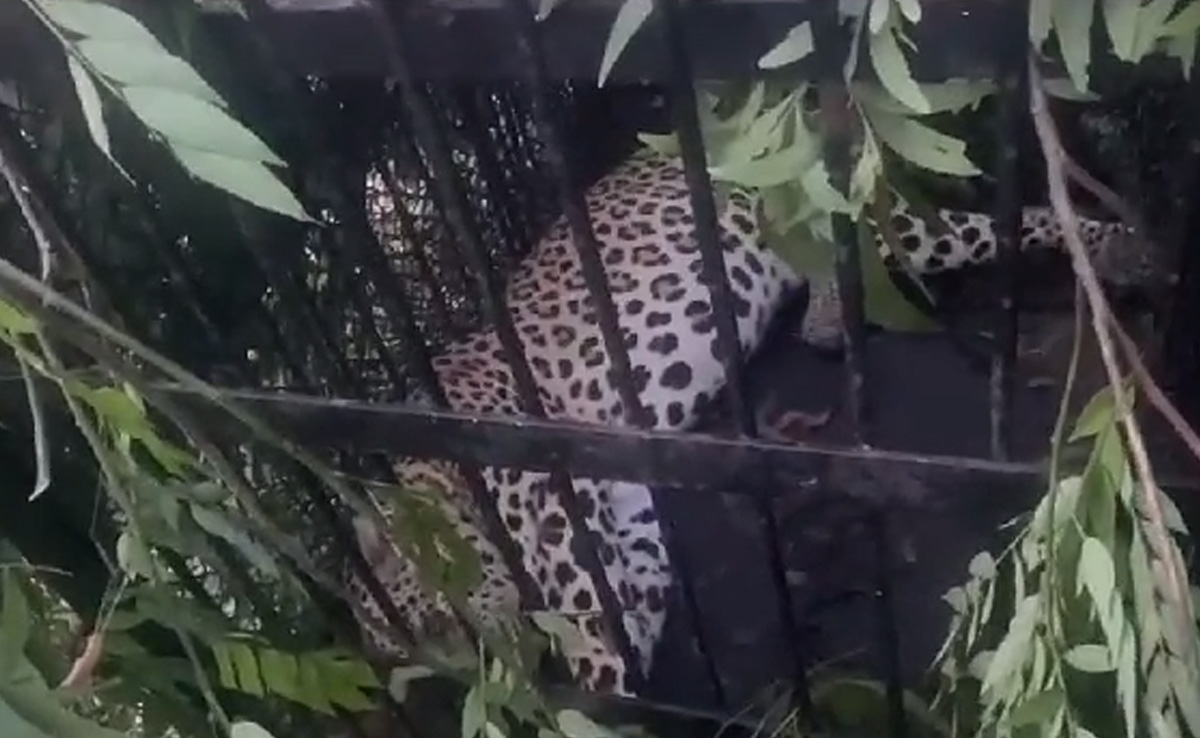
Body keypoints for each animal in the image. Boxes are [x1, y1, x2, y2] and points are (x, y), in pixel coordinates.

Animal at [350, 145, 1149, 698]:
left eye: (430, 625)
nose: (481, 671)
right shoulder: (624, 508)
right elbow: (636, 602)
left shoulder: (554, 521)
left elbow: (598, 647)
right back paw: (826, 320)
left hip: (896, 224)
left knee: (994, 226)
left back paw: (1118, 246)